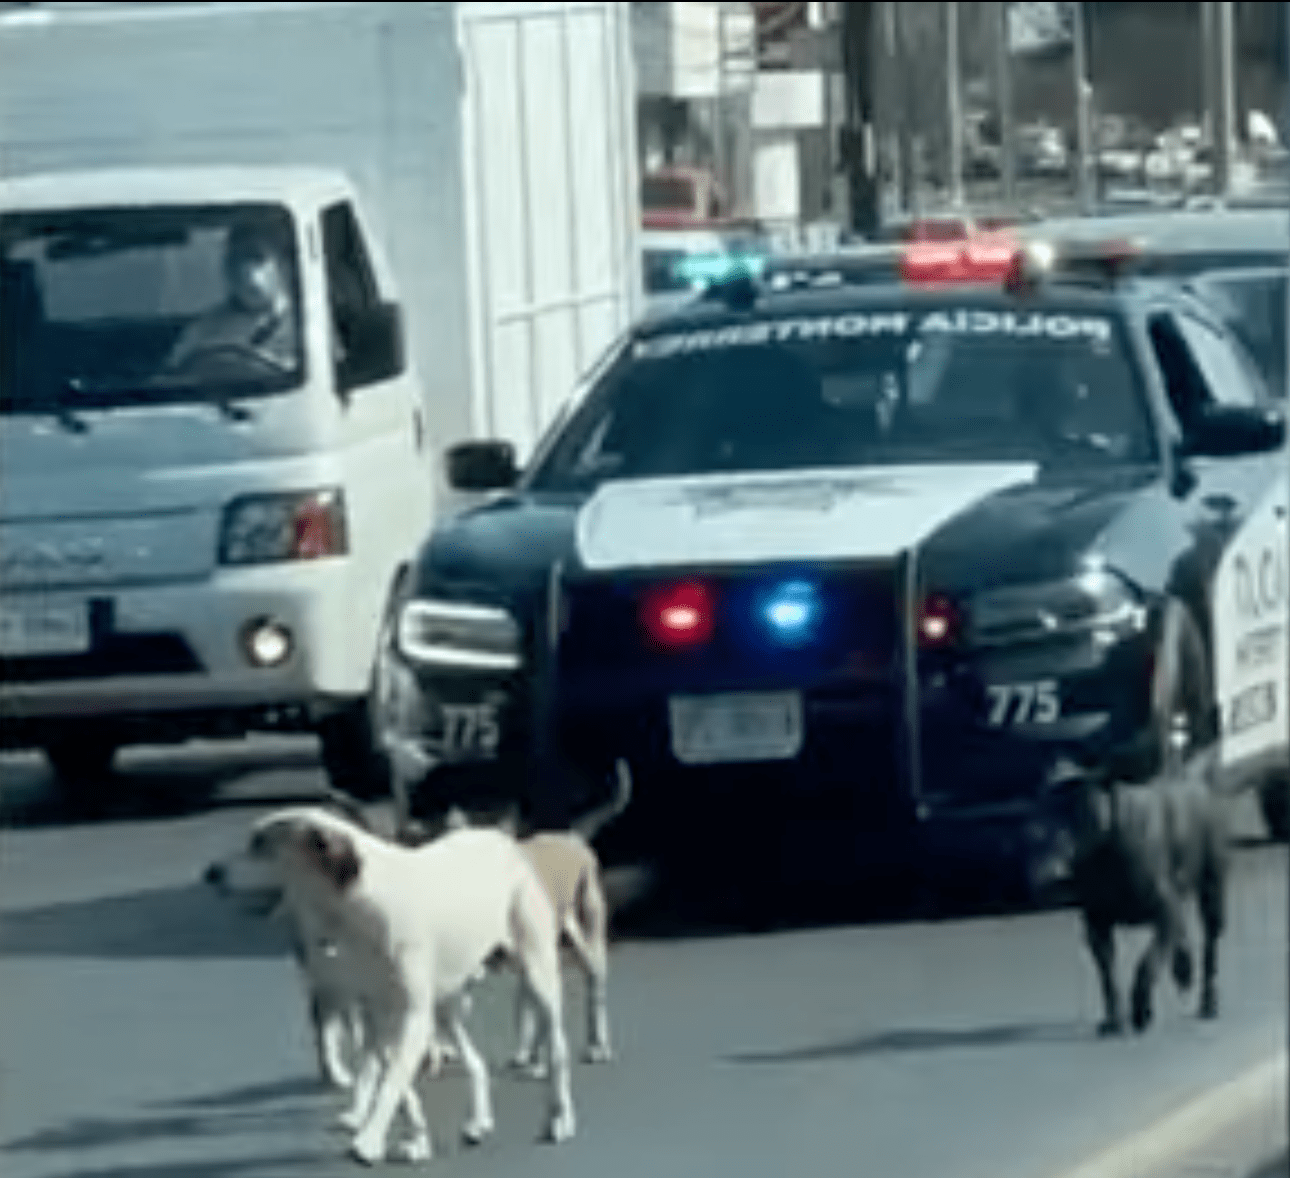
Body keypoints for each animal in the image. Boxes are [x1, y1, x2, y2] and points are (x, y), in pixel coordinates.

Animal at [202, 805, 575, 1161]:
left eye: (259, 844)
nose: (210, 873)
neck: (361, 909)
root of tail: (498, 837)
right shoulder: (377, 1016)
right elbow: (398, 1085)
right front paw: (415, 1139)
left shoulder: (412, 1019)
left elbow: (391, 1083)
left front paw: (367, 1142)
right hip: (445, 1006)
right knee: (476, 1061)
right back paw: (478, 1122)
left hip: (536, 975)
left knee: (557, 1049)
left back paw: (560, 1119)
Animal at [1047, 748, 1228, 1032]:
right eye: (1041, 813)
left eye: (1078, 814)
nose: (1052, 869)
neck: (1106, 853)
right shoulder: (1096, 924)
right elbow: (1108, 976)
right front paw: (1114, 1020)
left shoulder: (1164, 912)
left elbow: (1147, 964)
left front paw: (1141, 1010)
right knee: (1182, 936)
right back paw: (1183, 969)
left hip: (1213, 893)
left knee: (1210, 949)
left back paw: (1208, 1003)